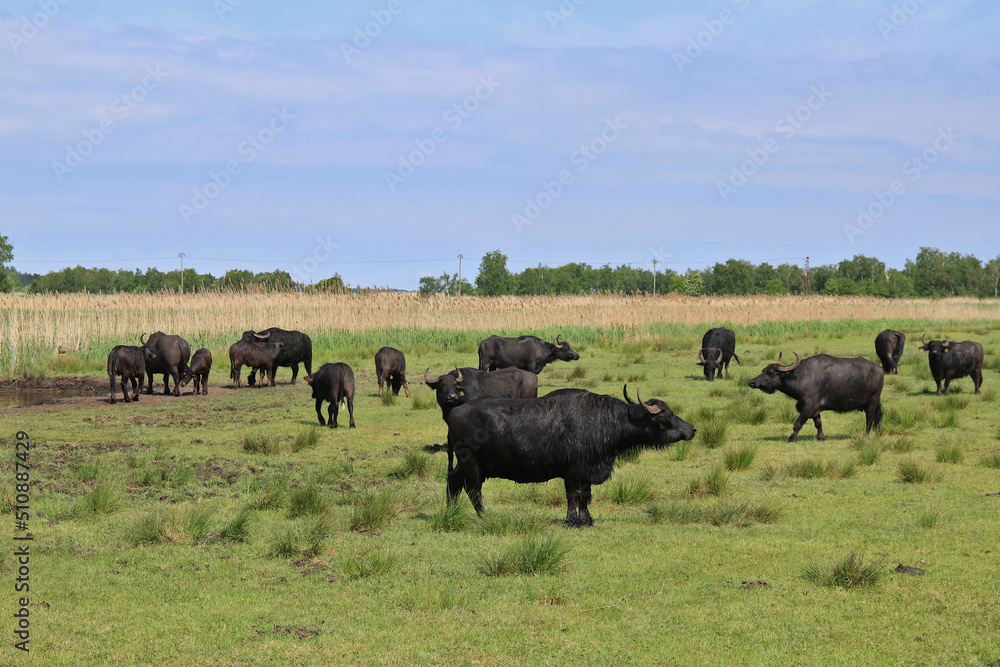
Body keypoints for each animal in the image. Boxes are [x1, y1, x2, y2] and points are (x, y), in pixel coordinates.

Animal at [448, 386, 696, 528]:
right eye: (665, 416)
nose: (692, 429)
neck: (604, 421)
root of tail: (455, 412)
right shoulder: (573, 471)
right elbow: (573, 496)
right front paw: (571, 521)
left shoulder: (588, 471)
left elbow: (586, 496)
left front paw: (586, 520)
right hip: (472, 464)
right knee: (474, 491)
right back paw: (485, 517)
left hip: (463, 464)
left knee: (454, 483)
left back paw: (451, 511)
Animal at [752, 352, 884, 440]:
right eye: (763, 370)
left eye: (770, 373)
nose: (751, 382)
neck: (802, 377)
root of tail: (880, 368)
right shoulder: (815, 408)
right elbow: (818, 423)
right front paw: (821, 437)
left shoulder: (808, 406)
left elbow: (798, 423)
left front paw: (791, 438)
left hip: (872, 401)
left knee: (869, 419)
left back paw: (866, 436)